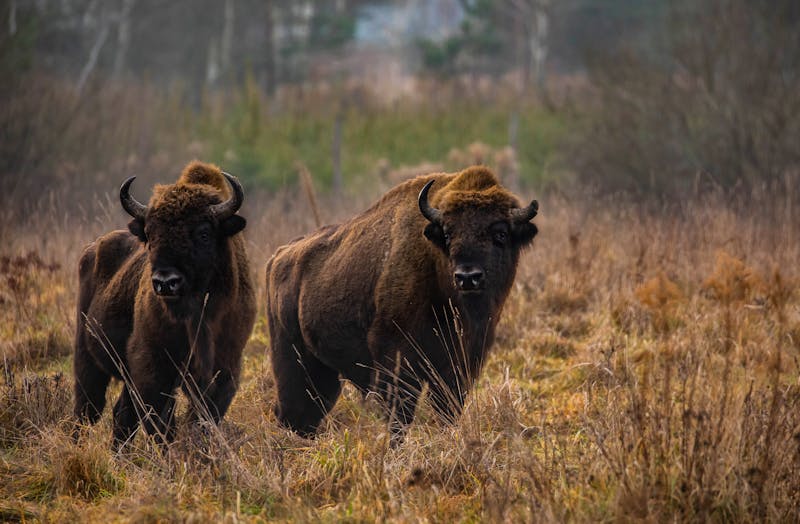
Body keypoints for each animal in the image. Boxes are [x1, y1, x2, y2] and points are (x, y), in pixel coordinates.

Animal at [72, 162, 255, 448]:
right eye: (150, 233)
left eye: (204, 233)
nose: (165, 282)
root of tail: (91, 250)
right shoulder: (152, 365)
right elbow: (160, 422)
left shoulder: (225, 366)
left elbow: (203, 417)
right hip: (87, 359)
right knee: (86, 410)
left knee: (121, 413)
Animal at [264, 166, 536, 436]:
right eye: (448, 234)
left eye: (501, 233)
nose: (468, 277)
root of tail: (279, 256)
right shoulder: (396, 359)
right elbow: (400, 415)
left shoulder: (460, 364)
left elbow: (447, 409)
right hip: (292, 358)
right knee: (292, 409)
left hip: (323, 371)